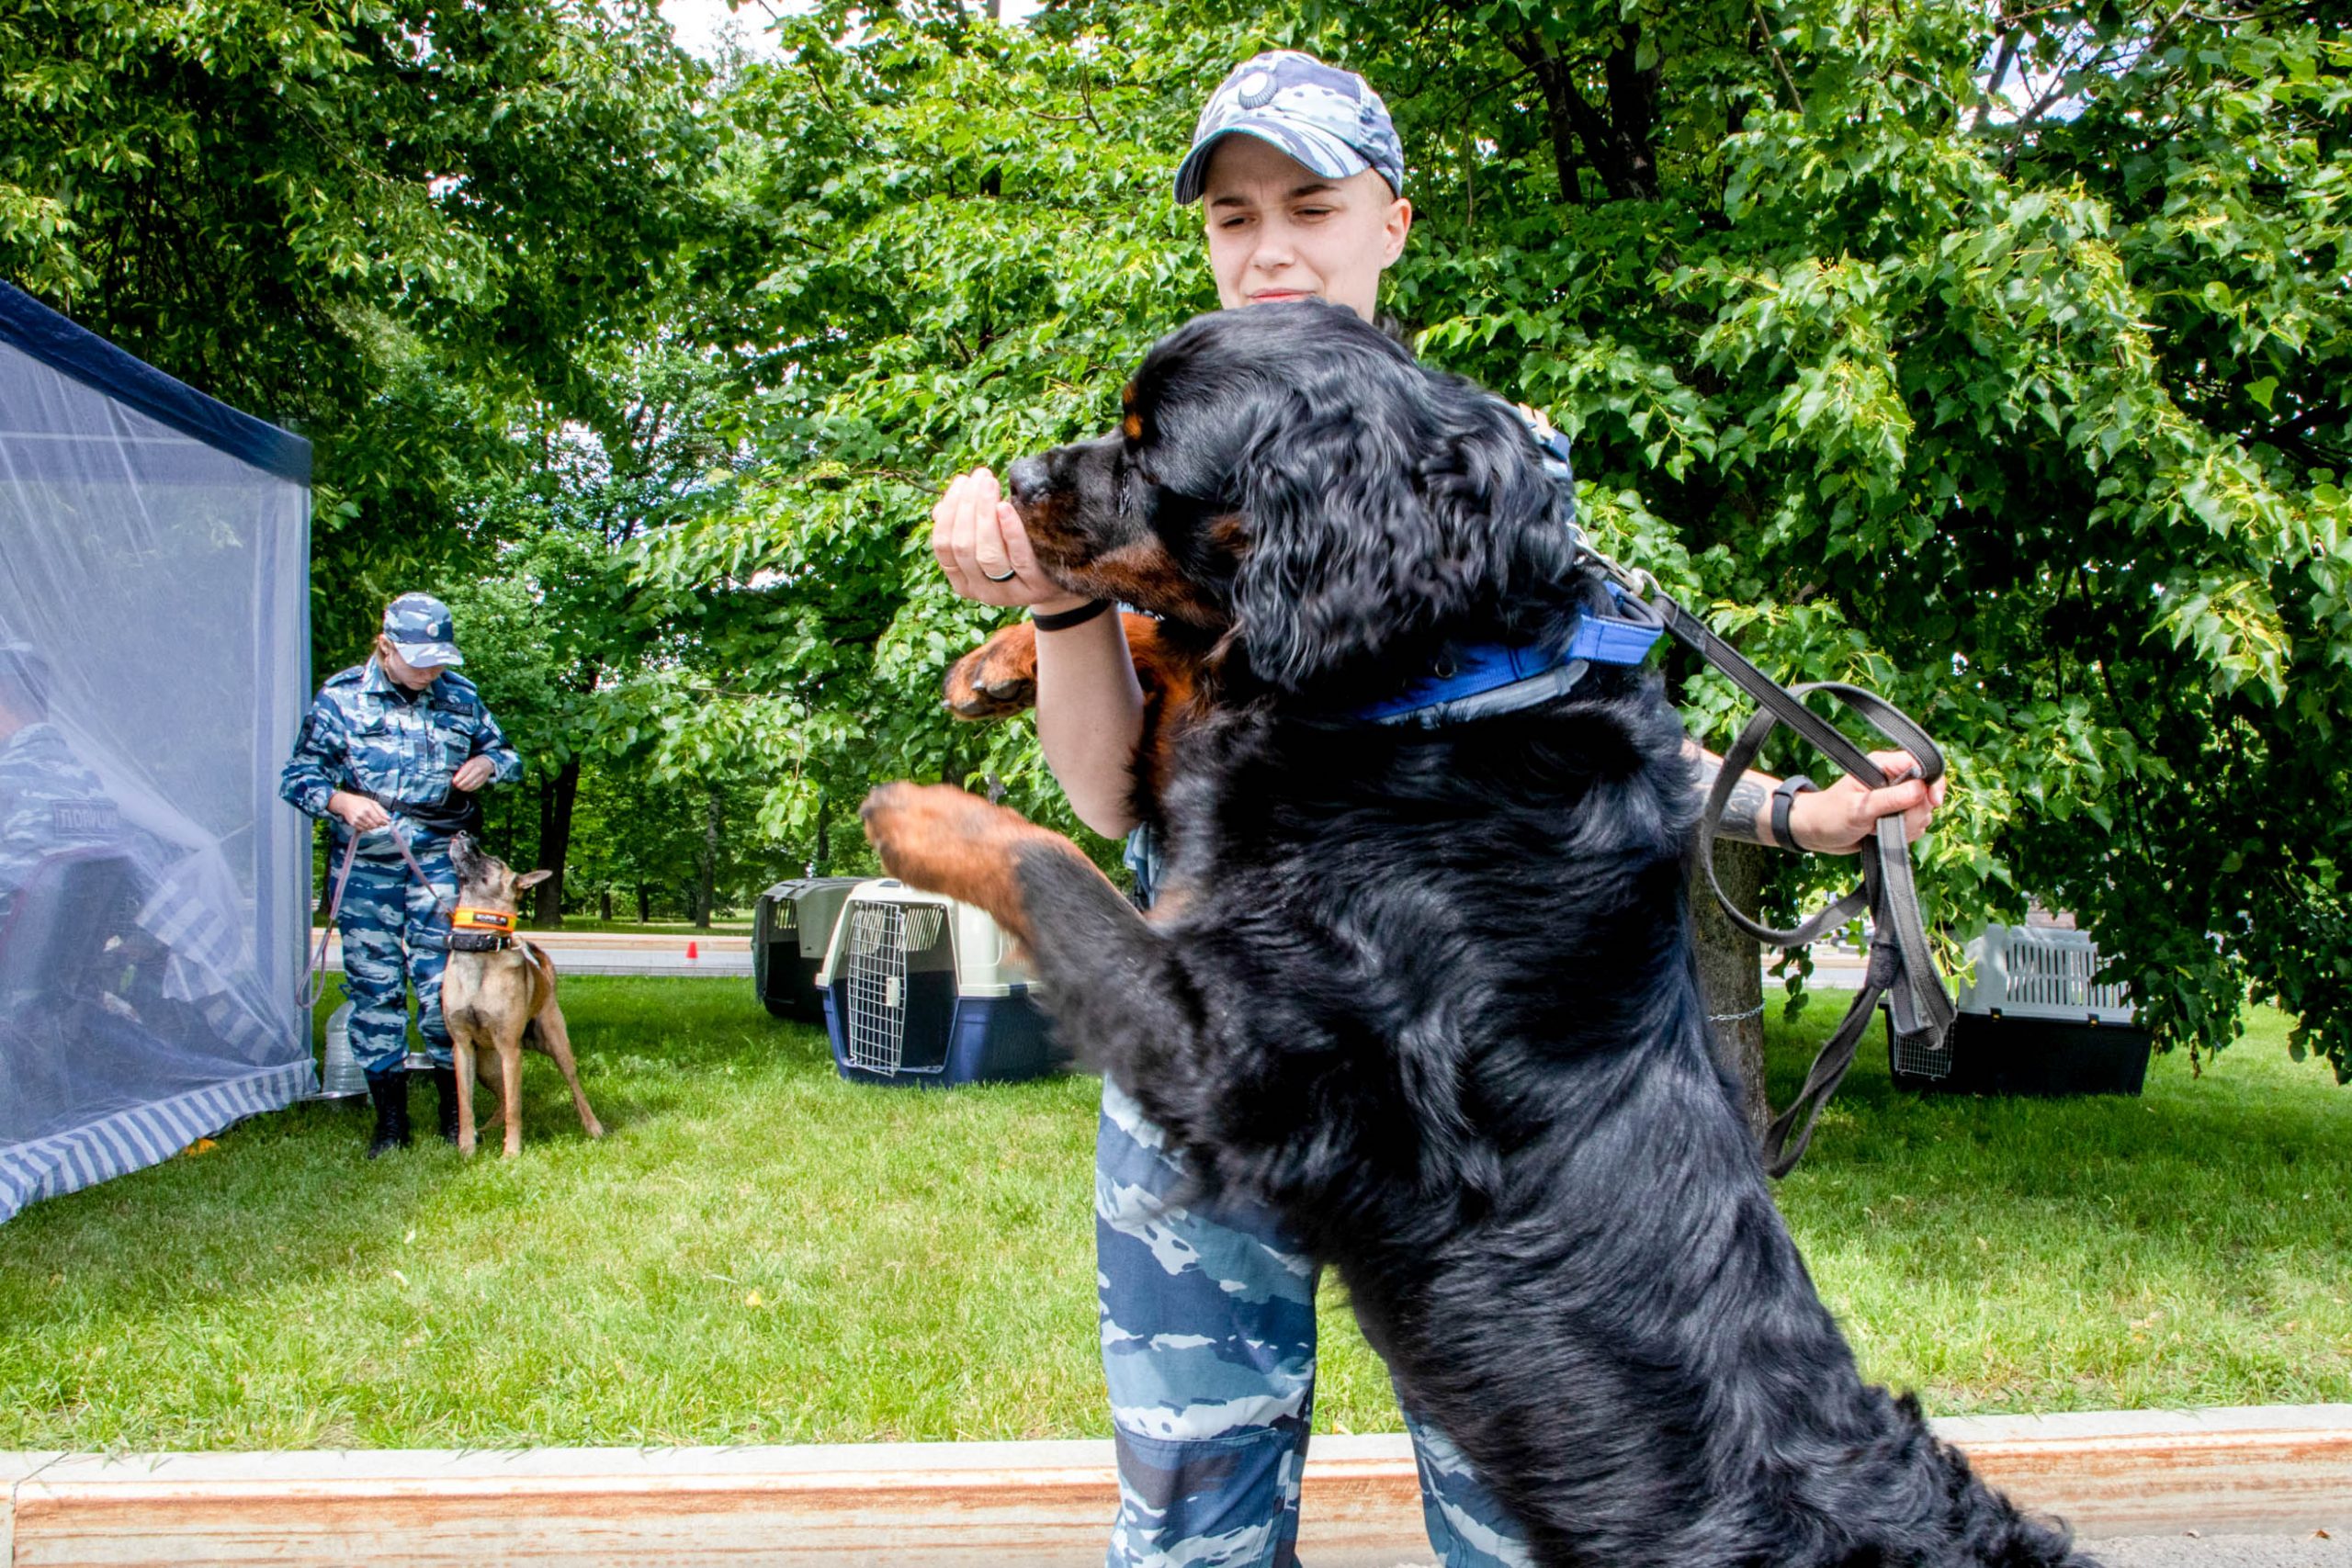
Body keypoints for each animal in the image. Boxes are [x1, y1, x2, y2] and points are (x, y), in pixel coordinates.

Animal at [439, 841, 606, 1161]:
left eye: (493, 859)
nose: (462, 835)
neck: (480, 946)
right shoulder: (462, 1046)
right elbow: (465, 1104)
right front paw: (466, 1149)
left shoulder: (510, 1050)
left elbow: (516, 1108)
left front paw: (511, 1152)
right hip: (486, 1065)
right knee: (502, 1099)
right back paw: (486, 1129)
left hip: (556, 1045)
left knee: (573, 1088)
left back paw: (593, 1126)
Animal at [865, 300, 2098, 1561]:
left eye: (1146, 443)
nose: (1019, 478)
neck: (1449, 690)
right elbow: (1175, 658)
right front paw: (999, 659)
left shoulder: (1244, 1062)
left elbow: (1052, 861)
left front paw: (920, 813)